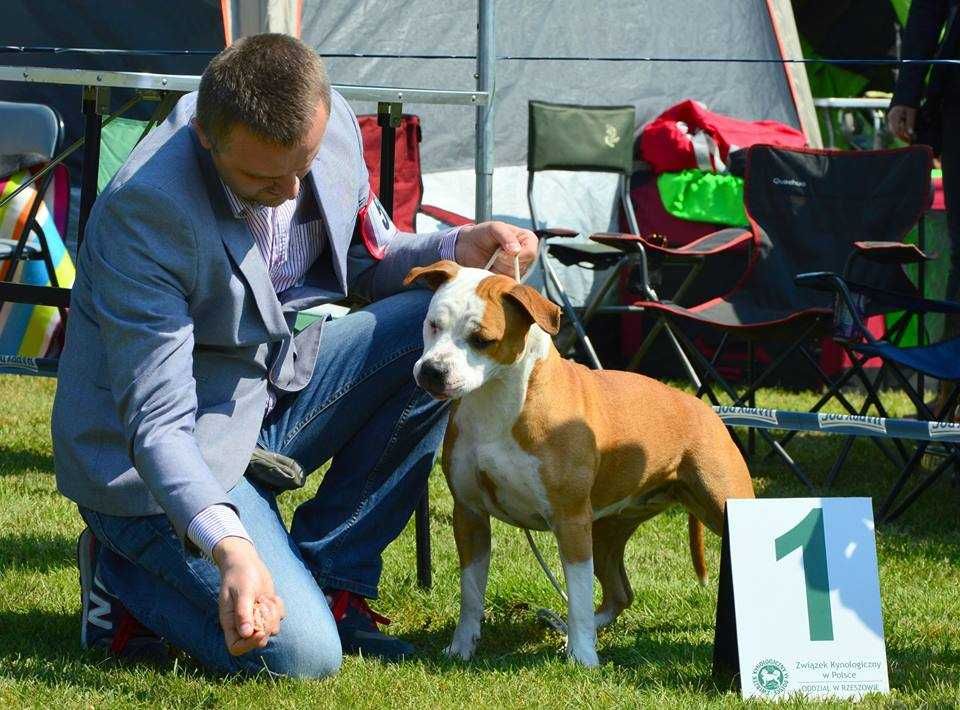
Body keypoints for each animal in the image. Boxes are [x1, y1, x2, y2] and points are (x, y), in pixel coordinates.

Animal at [402, 260, 752, 668]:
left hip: (715, 504)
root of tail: (702, 406)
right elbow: (471, 590)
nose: (432, 371)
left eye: (482, 339)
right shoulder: (469, 514)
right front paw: (461, 647)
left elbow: (579, 595)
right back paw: (566, 631)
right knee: (620, 593)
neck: (498, 399)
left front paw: (584, 657)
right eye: (433, 324)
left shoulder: (570, 521)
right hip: (606, 530)